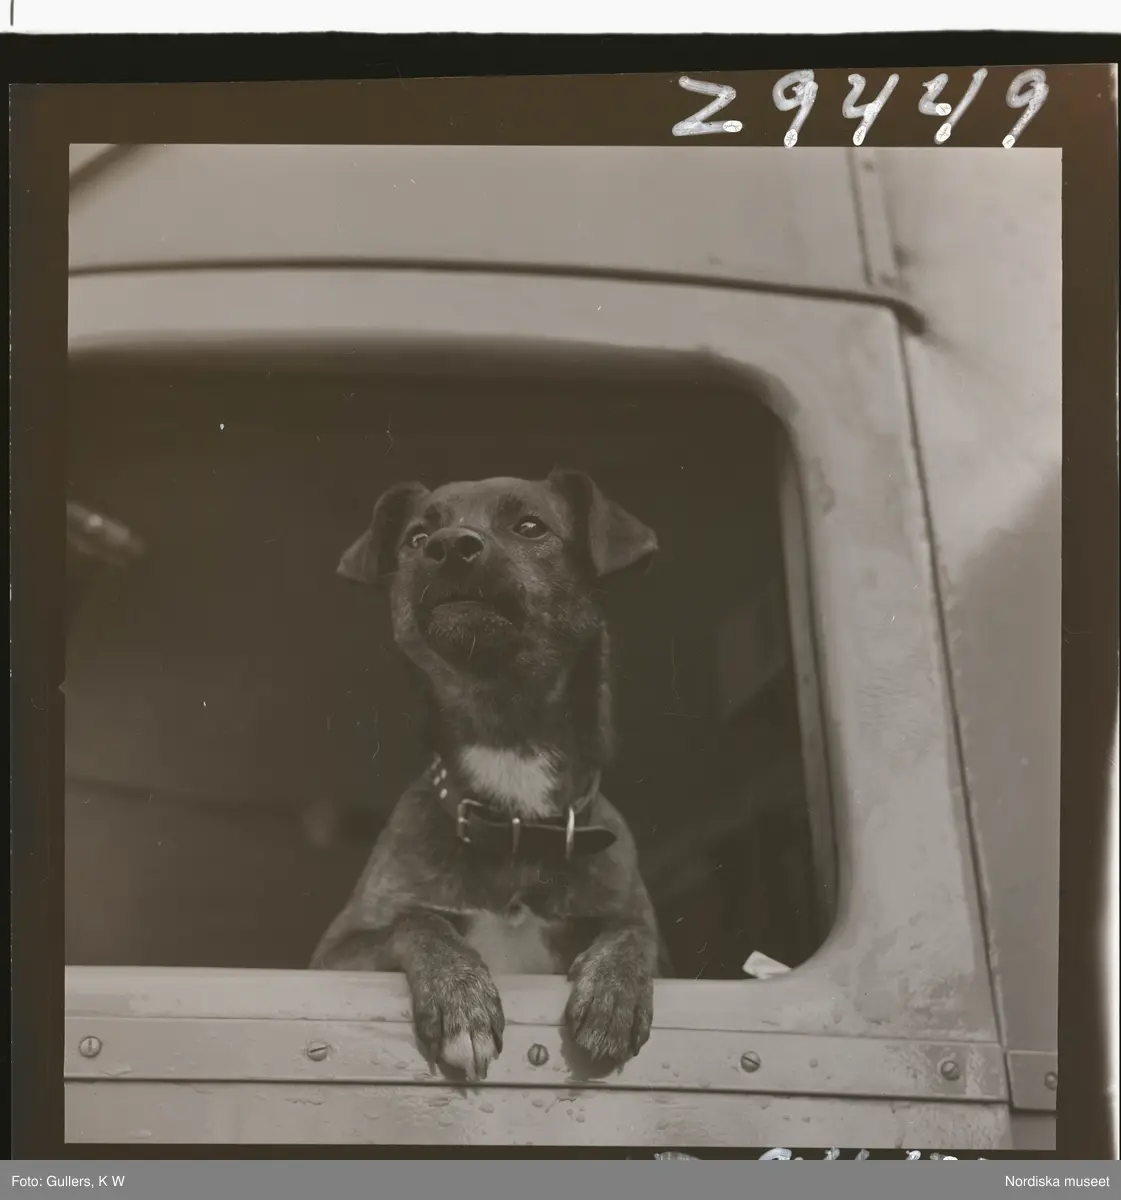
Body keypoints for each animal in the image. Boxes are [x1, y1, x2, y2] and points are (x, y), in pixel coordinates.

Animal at [311, 469, 667, 1081]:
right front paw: (460, 998)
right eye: (415, 537)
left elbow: (632, 931)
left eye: (530, 526)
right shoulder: (335, 954)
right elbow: (419, 922)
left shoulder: (650, 939)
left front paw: (613, 993)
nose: (450, 546)